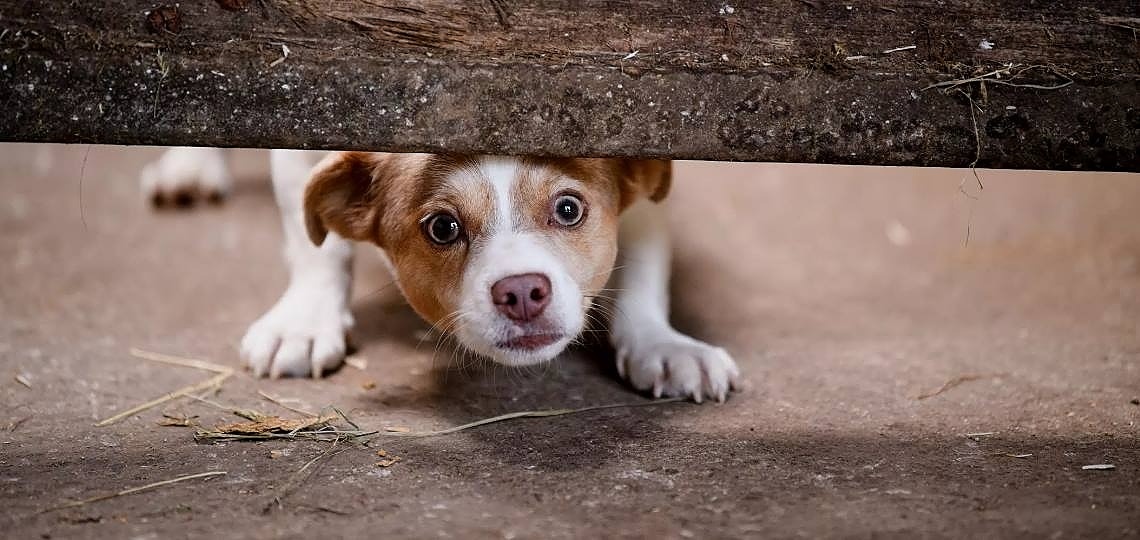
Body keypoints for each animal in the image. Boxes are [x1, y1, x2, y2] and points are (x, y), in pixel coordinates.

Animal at [140, 148, 738, 401]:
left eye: (569, 209)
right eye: (443, 228)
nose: (522, 292)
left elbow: (644, 259)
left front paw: (664, 345)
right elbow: (316, 244)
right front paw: (305, 323)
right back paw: (190, 165)